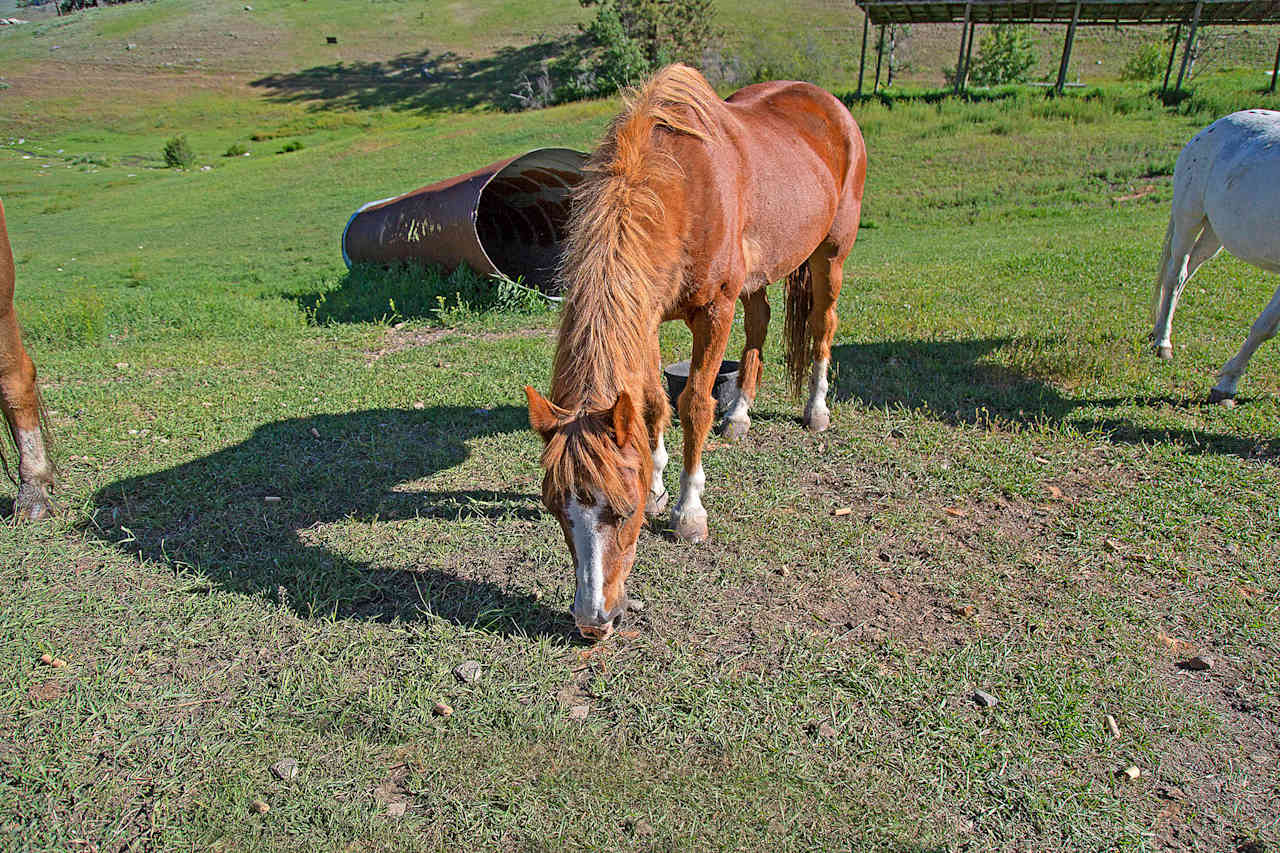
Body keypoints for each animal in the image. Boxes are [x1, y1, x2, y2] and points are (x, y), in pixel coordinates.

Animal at [524, 66, 865, 635]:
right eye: (555, 508)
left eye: (622, 510)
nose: (593, 621)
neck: (681, 187)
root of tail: (828, 105)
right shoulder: (649, 313)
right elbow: (652, 403)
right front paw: (660, 482)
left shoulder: (714, 312)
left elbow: (695, 404)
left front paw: (687, 511)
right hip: (758, 279)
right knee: (760, 327)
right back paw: (742, 414)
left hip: (829, 255)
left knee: (822, 326)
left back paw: (816, 409)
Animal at [1152, 106, 1280, 404]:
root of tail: (1213, 126)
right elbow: (1265, 327)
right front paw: (1226, 386)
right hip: (1189, 217)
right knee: (1176, 274)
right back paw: (1162, 343)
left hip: (1214, 233)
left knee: (1190, 270)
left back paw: (1158, 330)